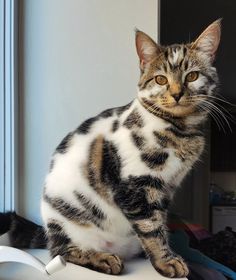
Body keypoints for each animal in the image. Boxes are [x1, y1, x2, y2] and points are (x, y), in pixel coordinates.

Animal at [4, 19, 221, 278]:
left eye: (192, 76)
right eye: (160, 79)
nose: (177, 93)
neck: (180, 130)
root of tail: (47, 231)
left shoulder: (165, 189)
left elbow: (159, 223)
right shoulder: (135, 187)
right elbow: (151, 227)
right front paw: (166, 261)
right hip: (66, 224)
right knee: (61, 252)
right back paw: (103, 258)